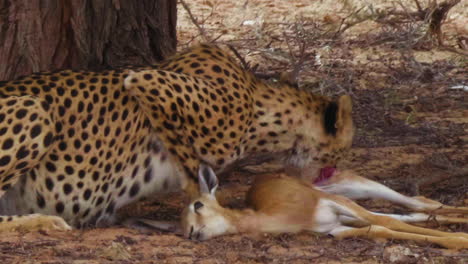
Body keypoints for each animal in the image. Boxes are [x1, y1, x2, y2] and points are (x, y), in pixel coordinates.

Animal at [0, 44, 464, 232]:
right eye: (342, 149)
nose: (330, 171)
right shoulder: (147, 80)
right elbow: (191, 164)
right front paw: (201, 205)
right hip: (35, 110)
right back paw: (45, 220)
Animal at [182, 165, 468, 250]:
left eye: (198, 204)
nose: (192, 233)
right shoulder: (334, 228)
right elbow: (382, 228)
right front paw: (459, 239)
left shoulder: (335, 203)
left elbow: (388, 224)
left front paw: (460, 240)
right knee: (417, 212)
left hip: (358, 190)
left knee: (423, 203)